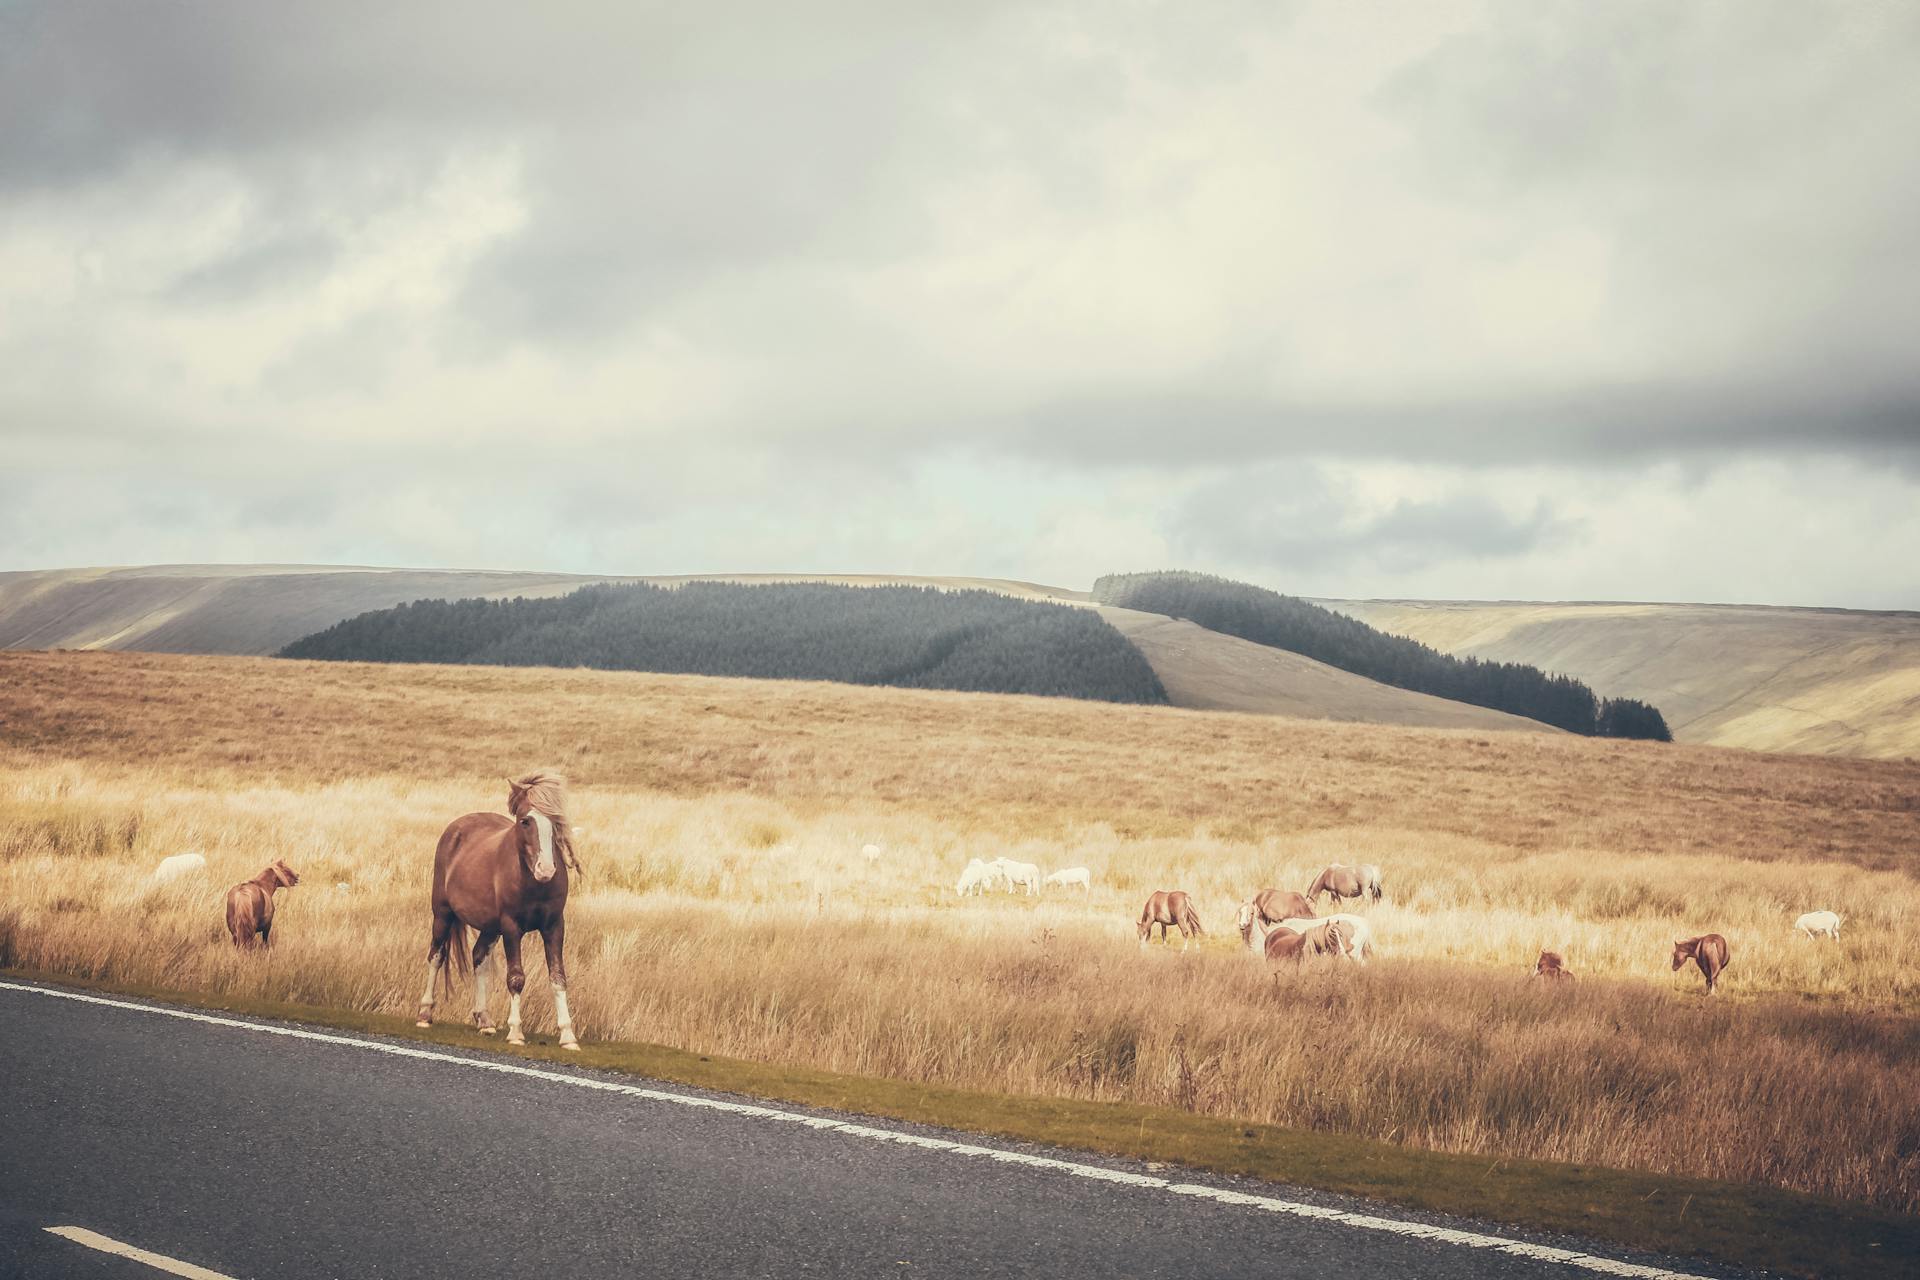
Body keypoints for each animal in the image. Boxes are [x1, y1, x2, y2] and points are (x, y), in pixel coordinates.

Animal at [412, 771, 576, 1051]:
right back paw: (425, 1013)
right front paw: (516, 1031)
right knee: (436, 956)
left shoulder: (554, 926)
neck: (533, 883)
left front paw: (568, 1036)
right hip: (442, 914)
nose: (546, 870)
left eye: (556, 821)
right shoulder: (511, 927)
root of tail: (457, 827)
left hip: (490, 927)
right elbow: (516, 978)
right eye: (525, 821)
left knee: (479, 957)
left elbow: (558, 977)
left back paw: (484, 1020)